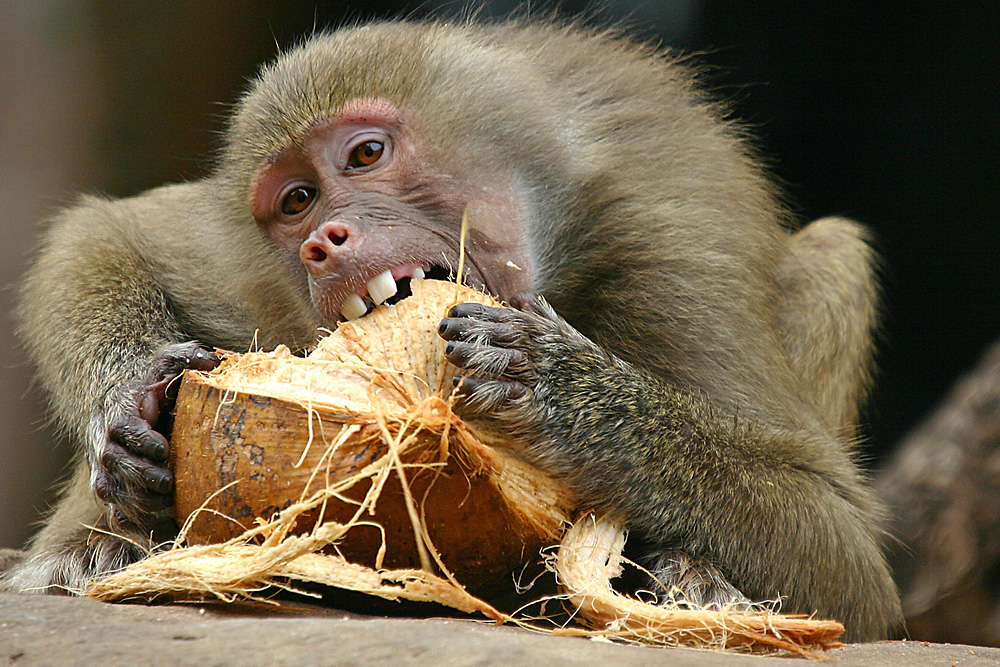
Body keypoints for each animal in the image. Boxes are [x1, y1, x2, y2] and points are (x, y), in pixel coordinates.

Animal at [3, 19, 904, 636]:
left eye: (366, 156)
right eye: (296, 201)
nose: (324, 242)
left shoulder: (668, 256)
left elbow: (846, 555)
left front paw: (564, 394)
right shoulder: (255, 275)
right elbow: (104, 234)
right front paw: (130, 404)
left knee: (833, 254)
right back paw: (96, 552)